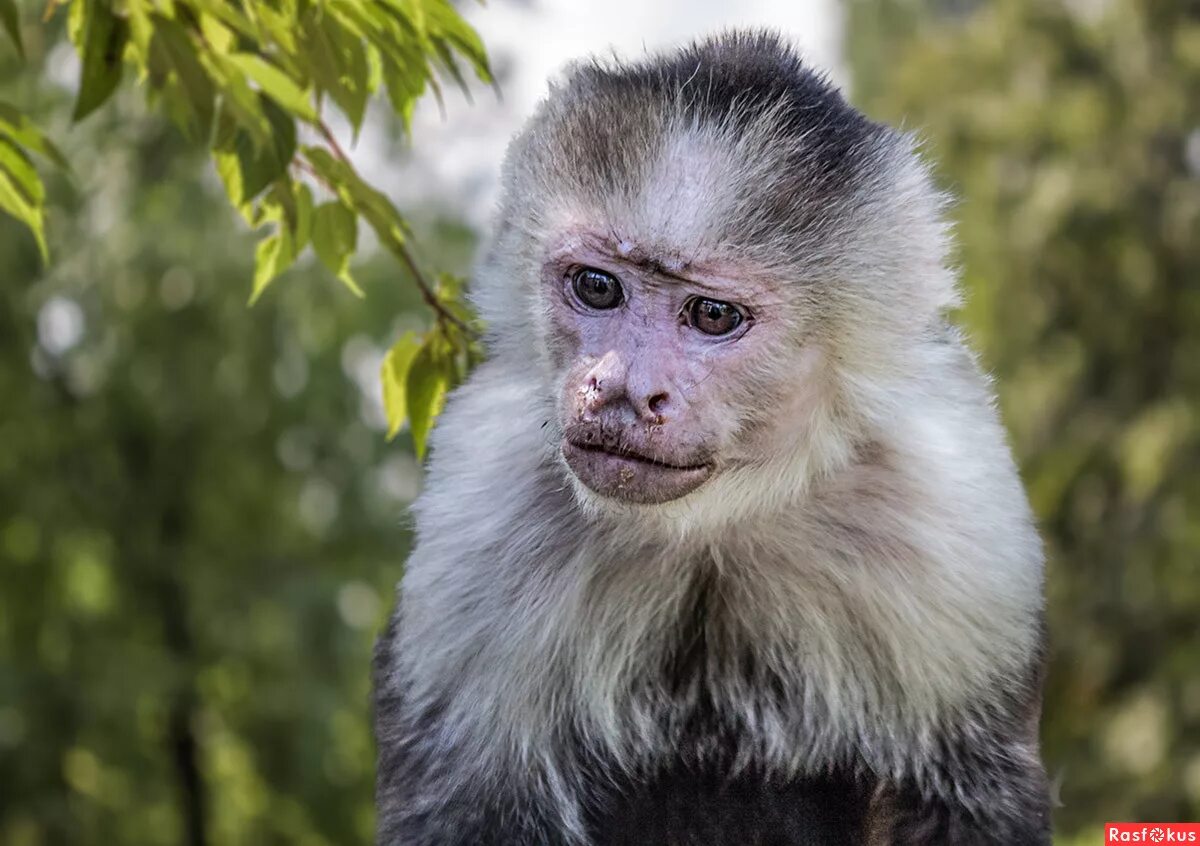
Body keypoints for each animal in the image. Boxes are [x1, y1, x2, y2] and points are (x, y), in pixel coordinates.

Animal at [372, 29, 1051, 840]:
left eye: (712, 315)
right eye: (597, 287)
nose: (624, 390)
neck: (720, 514)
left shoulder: (954, 527)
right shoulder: (483, 503)